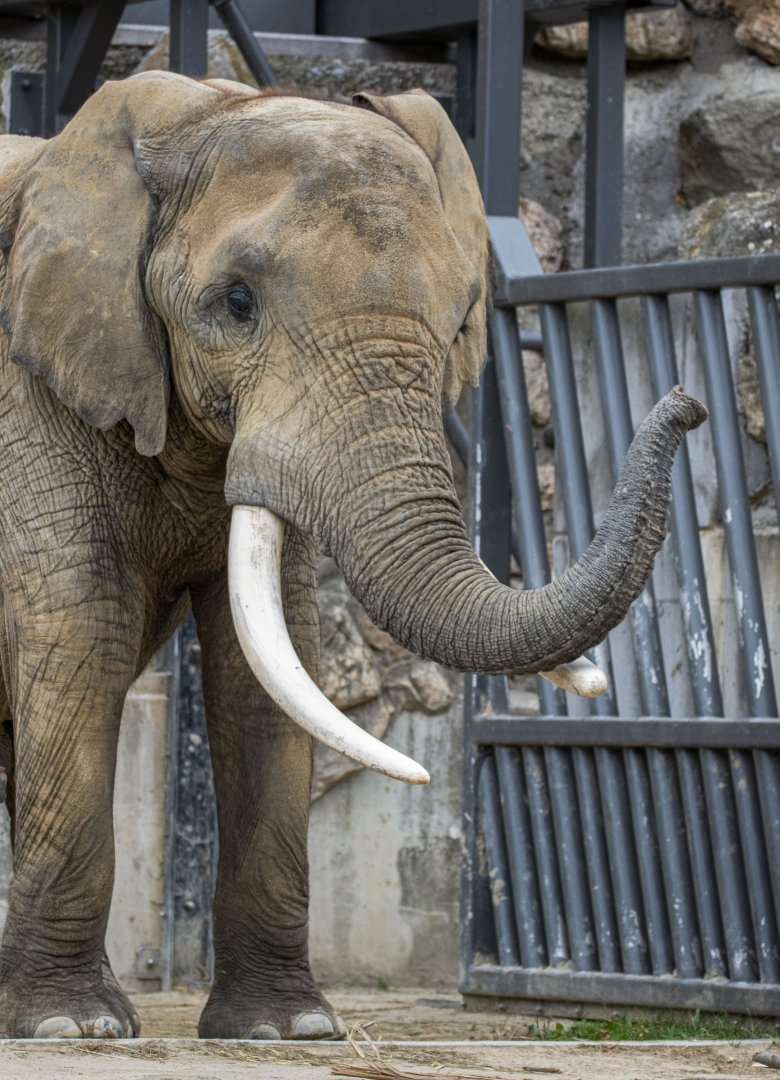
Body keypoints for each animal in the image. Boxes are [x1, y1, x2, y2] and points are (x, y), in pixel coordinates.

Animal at [0, 70, 706, 1041]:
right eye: (236, 303)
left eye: (458, 320)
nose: (689, 403)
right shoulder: (28, 397)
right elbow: (83, 634)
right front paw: (72, 1030)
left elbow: (268, 657)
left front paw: (285, 1031)